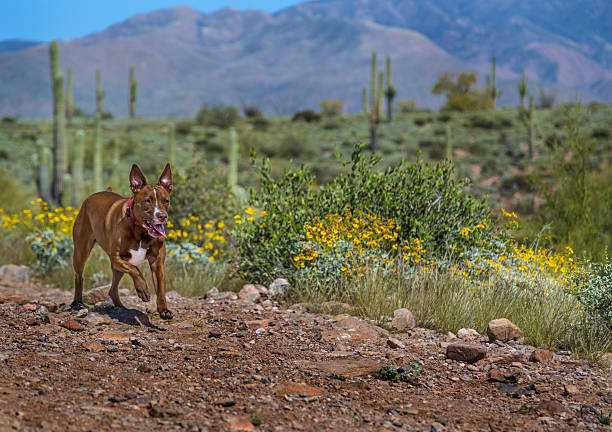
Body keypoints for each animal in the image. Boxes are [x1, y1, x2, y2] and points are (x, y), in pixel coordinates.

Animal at [71, 164, 175, 318]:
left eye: (166, 201)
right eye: (148, 200)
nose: (162, 216)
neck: (141, 231)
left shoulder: (157, 262)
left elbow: (161, 288)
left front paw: (164, 310)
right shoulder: (116, 258)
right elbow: (135, 269)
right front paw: (143, 289)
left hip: (116, 268)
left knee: (113, 289)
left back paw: (121, 307)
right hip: (81, 251)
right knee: (79, 276)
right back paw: (77, 303)